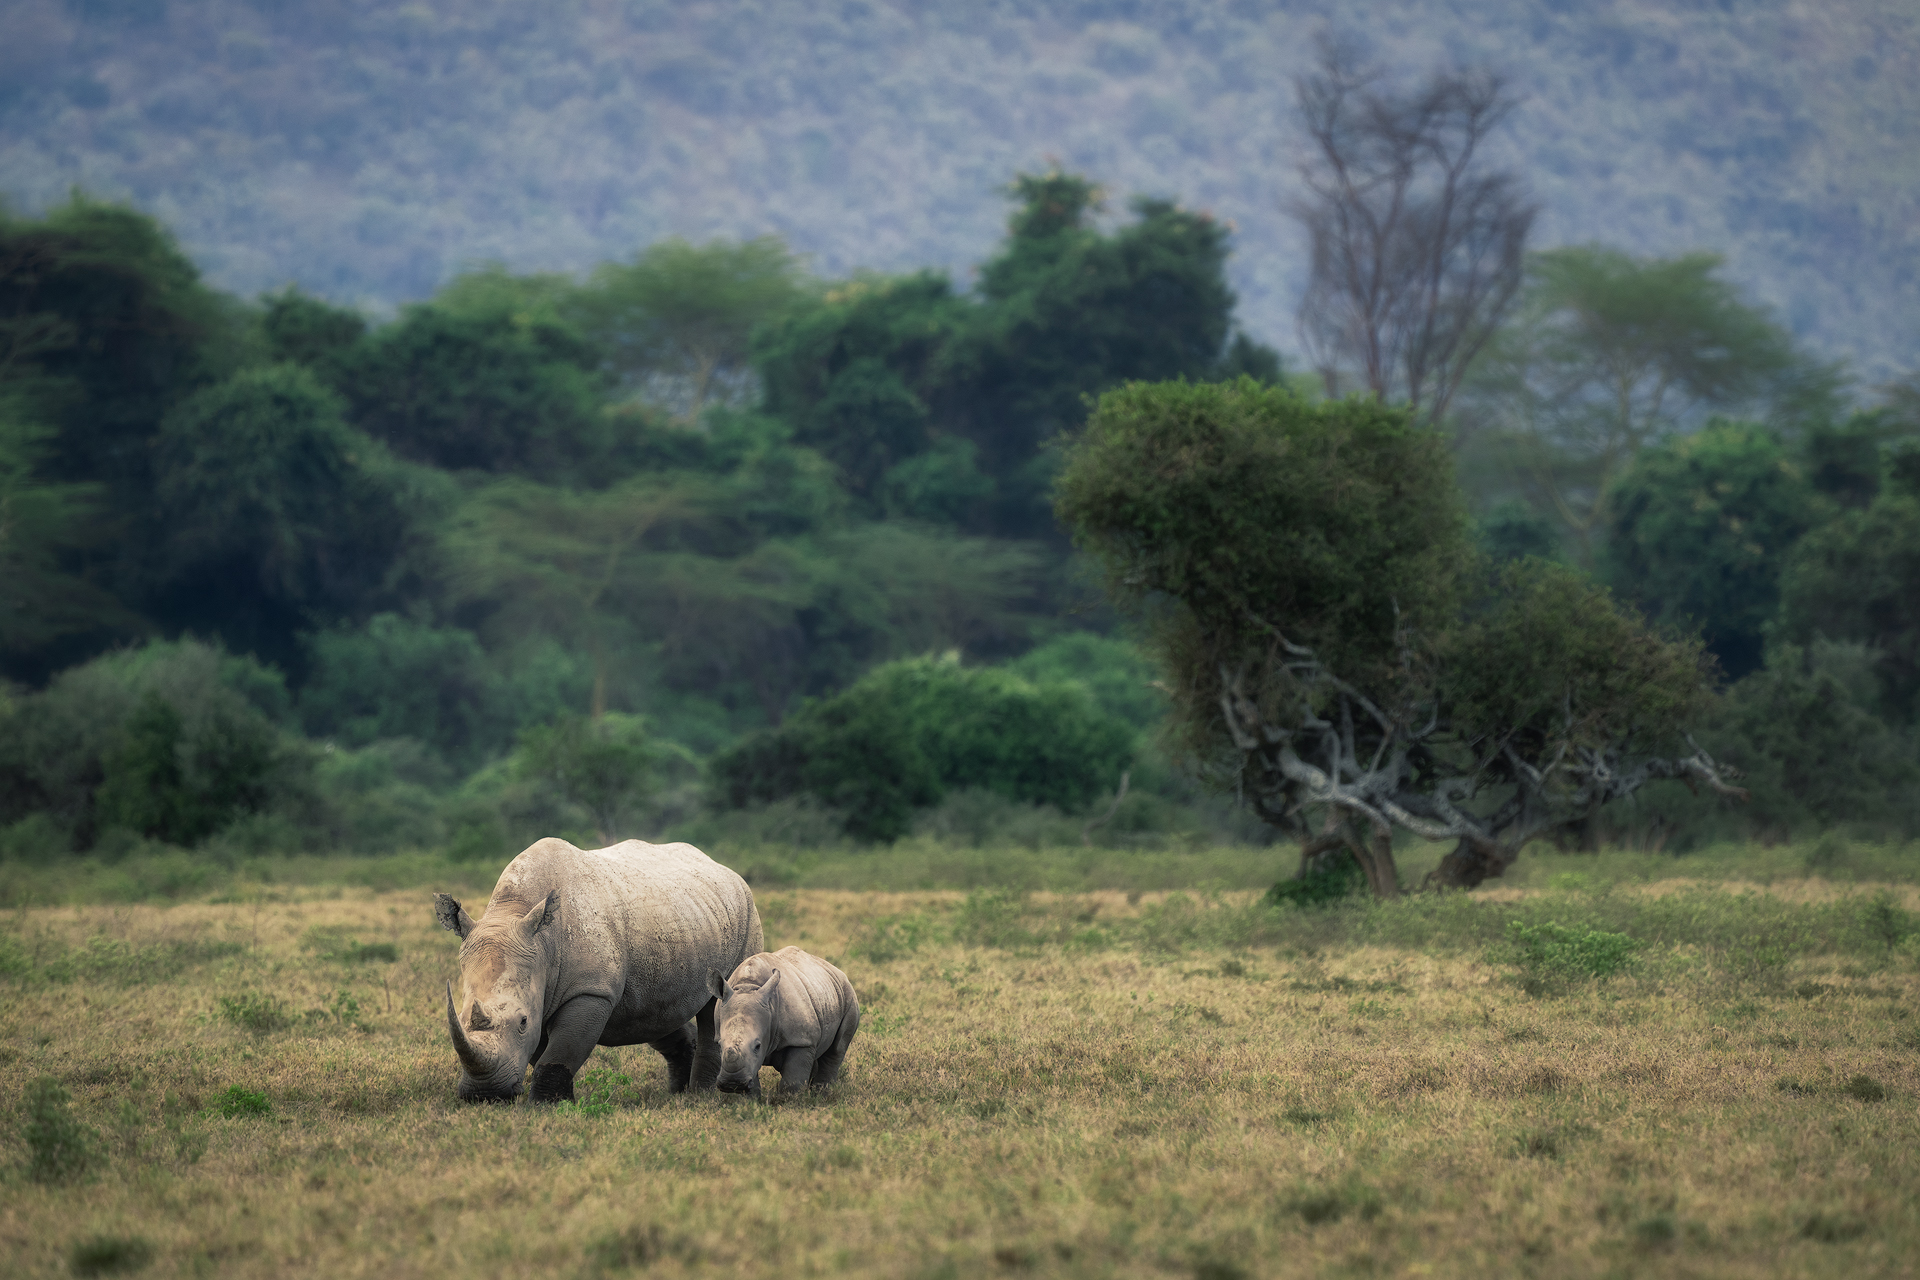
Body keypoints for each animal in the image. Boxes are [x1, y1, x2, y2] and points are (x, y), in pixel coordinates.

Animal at [433, 837, 762, 1103]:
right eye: (460, 1018)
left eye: (522, 1021)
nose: (484, 1094)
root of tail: (724, 869)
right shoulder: (544, 991)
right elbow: (545, 1052)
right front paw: (559, 1102)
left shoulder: (590, 992)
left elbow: (560, 1052)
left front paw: (545, 1106)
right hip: (681, 921)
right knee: (656, 1012)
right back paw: (678, 1094)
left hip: (746, 911)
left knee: (719, 1003)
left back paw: (701, 1097)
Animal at [705, 946, 860, 1098]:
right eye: (719, 1046)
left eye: (757, 1046)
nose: (732, 1084)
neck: (749, 986)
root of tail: (836, 971)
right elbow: (753, 1080)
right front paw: (750, 1102)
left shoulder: (801, 1039)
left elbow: (792, 1082)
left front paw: (791, 1102)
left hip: (849, 996)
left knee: (837, 1049)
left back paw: (821, 1097)